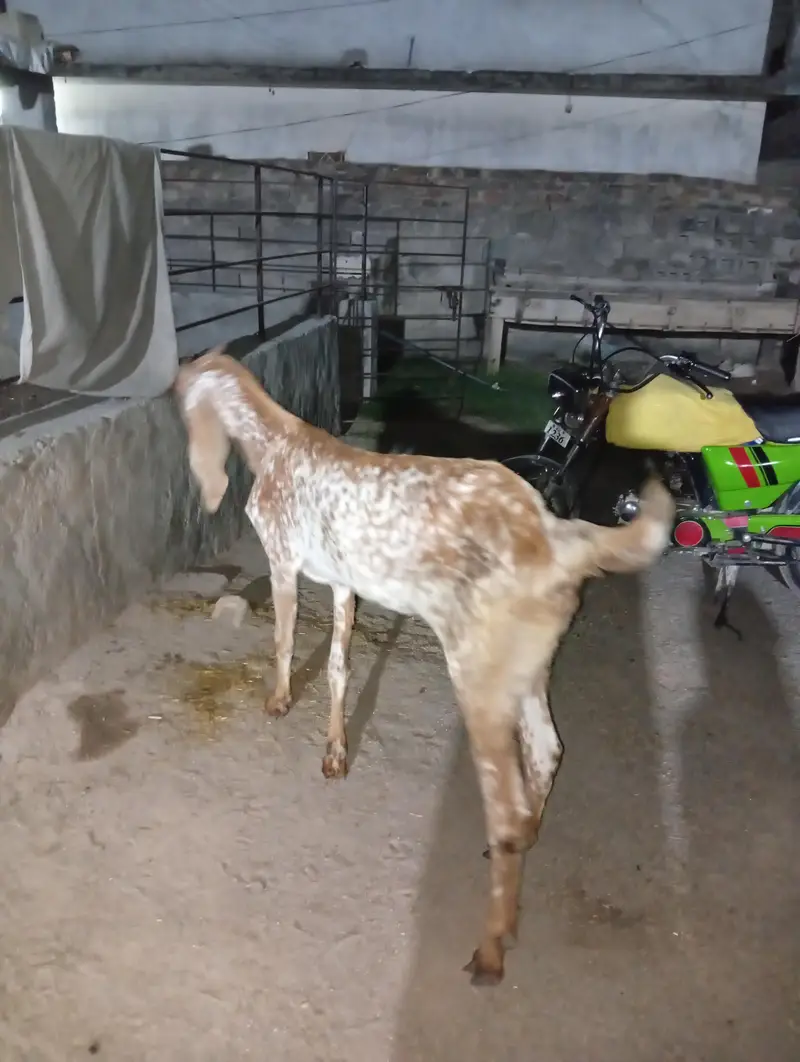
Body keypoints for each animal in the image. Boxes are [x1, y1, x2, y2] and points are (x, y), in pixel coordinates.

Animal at [173, 347, 675, 986]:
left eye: (185, 409)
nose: (206, 492)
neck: (276, 441)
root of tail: (562, 540)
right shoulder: (343, 583)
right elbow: (338, 667)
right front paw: (334, 752)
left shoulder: (283, 562)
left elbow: (284, 640)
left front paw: (279, 700)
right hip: (529, 671)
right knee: (548, 751)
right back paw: (523, 853)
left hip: (479, 682)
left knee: (506, 806)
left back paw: (491, 949)